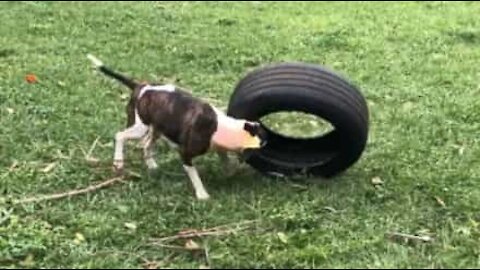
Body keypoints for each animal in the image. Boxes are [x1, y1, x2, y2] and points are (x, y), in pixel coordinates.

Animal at [86, 53, 266, 199]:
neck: (220, 127)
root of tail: (140, 86)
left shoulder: (218, 146)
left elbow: (225, 158)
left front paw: (229, 171)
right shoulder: (185, 153)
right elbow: (195, 175)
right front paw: (202, 194)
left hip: (157, 129)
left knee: (146, 144)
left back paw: (151, 165)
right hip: (140, 126)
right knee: (120, 135)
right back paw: (118, 162)